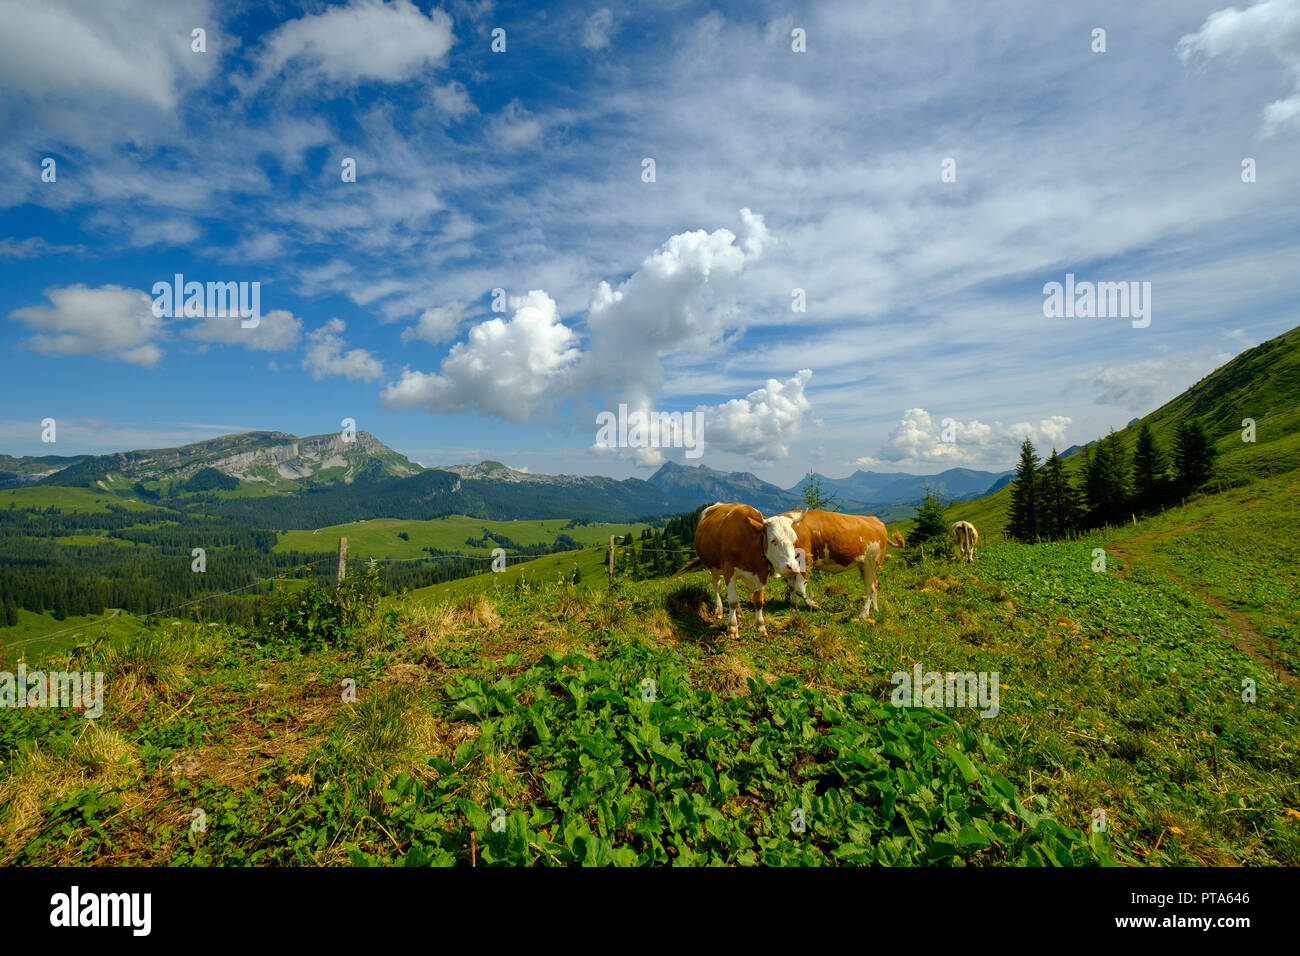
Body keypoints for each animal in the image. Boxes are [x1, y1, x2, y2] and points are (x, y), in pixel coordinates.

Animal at [675, 502, 803, 637]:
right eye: (773, 540)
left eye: (794, 540)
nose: (793, 567)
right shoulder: (729, 570)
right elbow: (732, 601)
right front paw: (732, 628)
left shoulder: (762, 573)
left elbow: (758, 601)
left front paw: (760, 626)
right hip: (713, 567)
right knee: (717, 586)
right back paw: (719, 610)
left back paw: (739, 612)